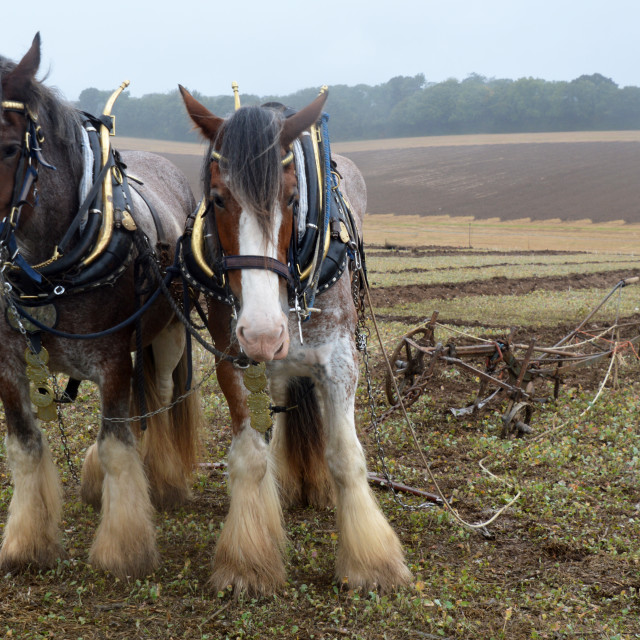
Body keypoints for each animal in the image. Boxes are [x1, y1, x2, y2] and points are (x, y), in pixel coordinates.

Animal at [179, 86, 410, 596]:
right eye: (218, 198)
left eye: (290, 197)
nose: (264, 333)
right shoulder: (233, 357)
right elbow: (249, 456)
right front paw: (247, 563)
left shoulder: (340, 358)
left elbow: (346, 455)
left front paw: (372, 563)